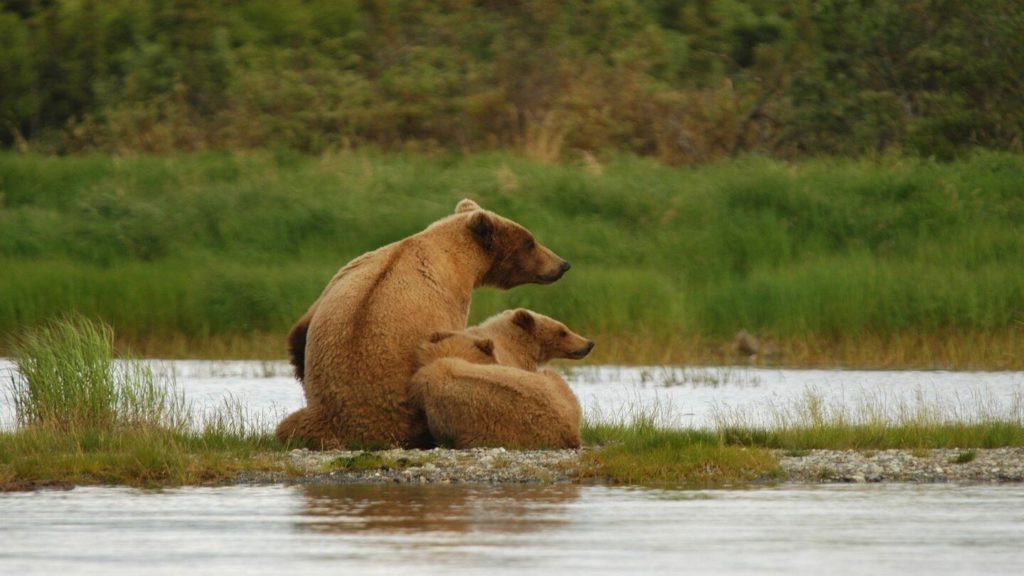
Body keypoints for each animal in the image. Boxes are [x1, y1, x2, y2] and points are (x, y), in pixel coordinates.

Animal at [276, 199, 571, 449]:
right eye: (530, 242)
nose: (562, 264)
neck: (454, 255)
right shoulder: (451, 299)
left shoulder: (338, 281)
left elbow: (297, 340)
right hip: (397, 414)